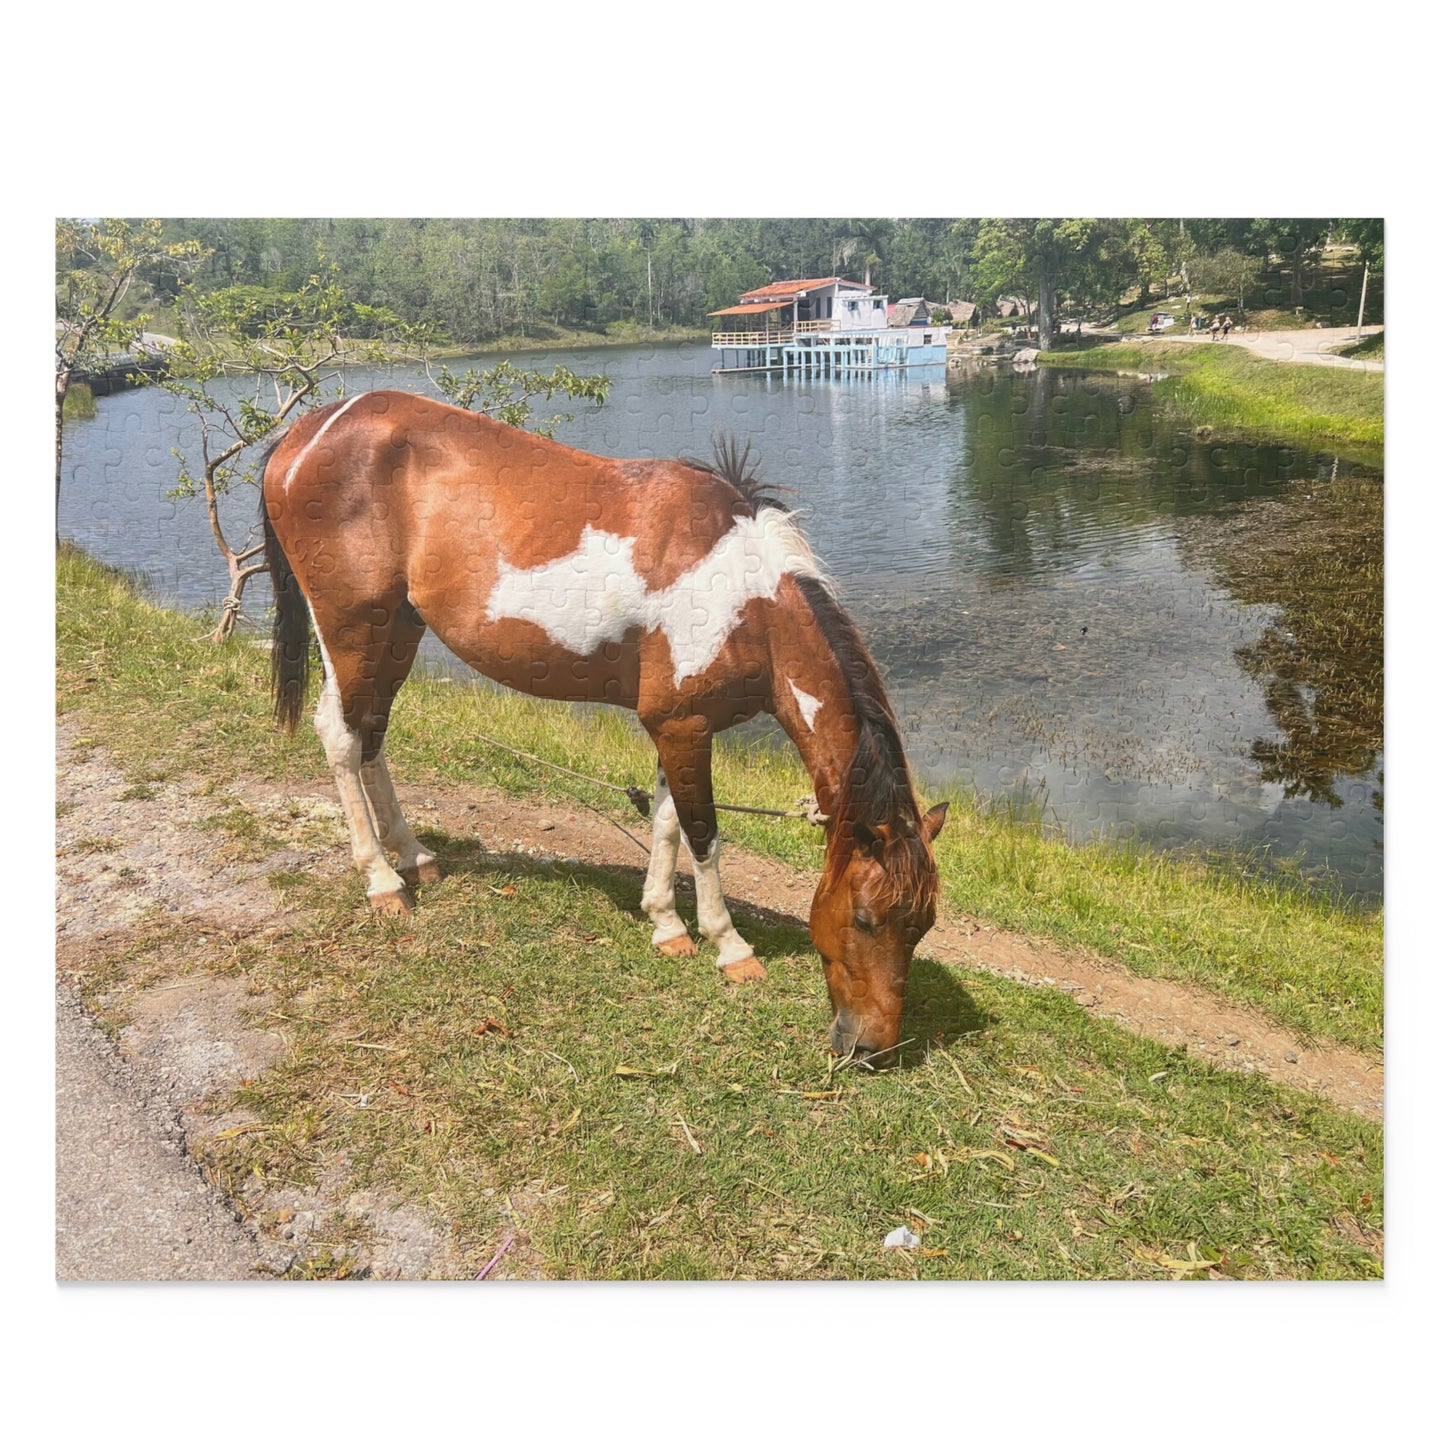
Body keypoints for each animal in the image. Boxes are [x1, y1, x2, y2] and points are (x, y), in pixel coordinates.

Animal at [259, 389, 947, 1060]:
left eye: (923, 925)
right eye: (866, 918)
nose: (872, 1048)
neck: (744, 597)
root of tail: (308, 433)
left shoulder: (676, 725)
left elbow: (667, 820)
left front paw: (666, 924)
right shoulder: (685, 727)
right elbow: (704, 834)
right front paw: (730, 947)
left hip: (399, 630)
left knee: (372, 735)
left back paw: (414, 855)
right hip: (352, 629)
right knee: (342, 737)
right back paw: (381, 880)